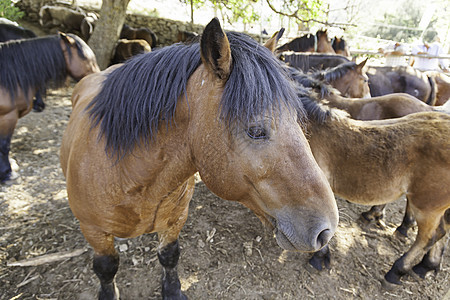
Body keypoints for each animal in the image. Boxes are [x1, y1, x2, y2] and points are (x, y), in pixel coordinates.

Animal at [60, 18, 342, 298]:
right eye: (255, 131)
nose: (327, 229)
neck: (129, 175)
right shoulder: (94, 232)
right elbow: (106, 268)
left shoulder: (176, 221)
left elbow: (169, 255)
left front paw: (173, 290)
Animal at [296, 85, 450, 288]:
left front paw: (319, 257)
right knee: (442, 232)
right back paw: (425, 267)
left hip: (427, 206)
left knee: (429, 237)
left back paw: (396, 271)